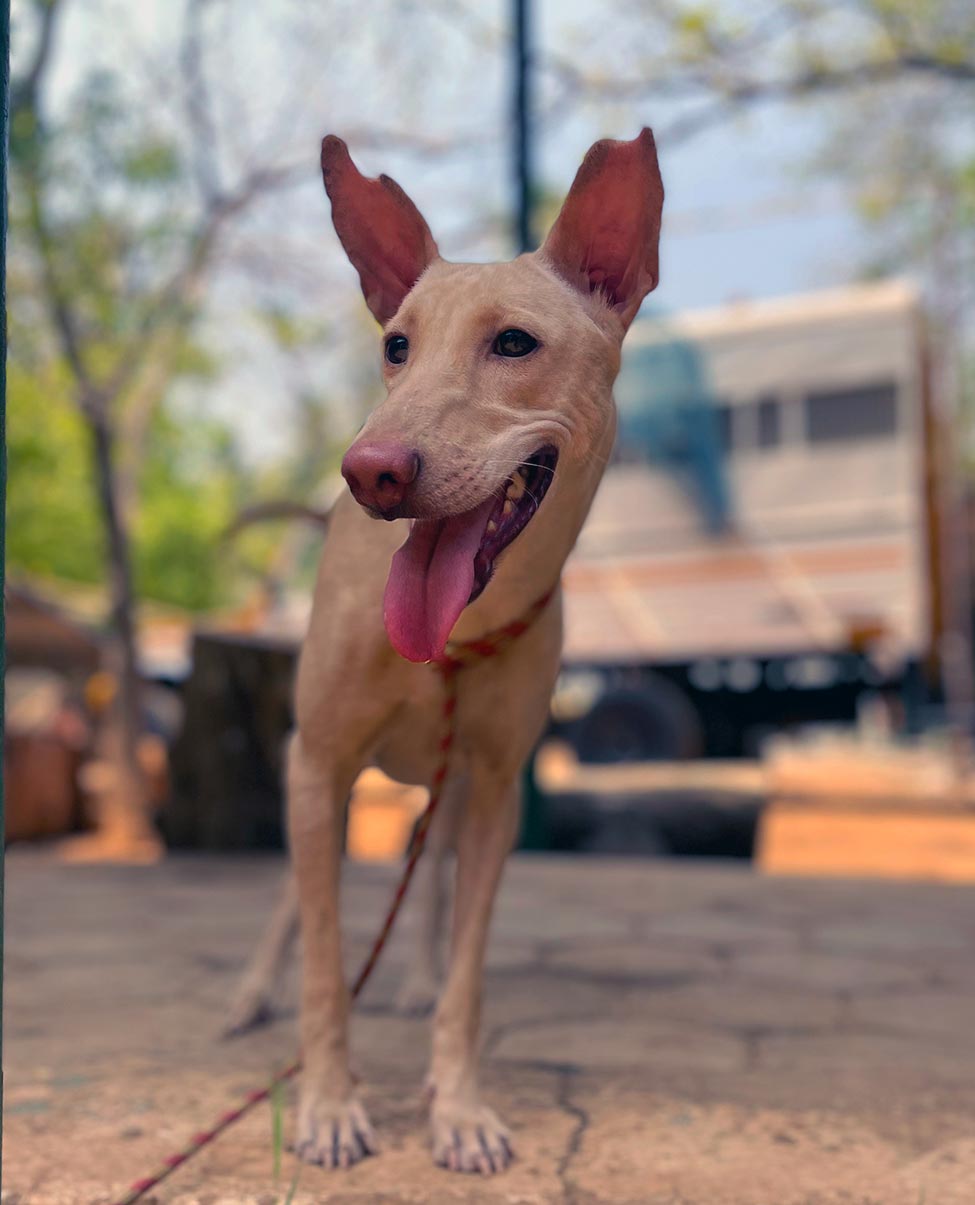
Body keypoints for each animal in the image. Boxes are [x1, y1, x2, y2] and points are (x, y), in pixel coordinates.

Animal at [230, 129, 664, 1174]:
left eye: (513, 343)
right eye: (396, 345)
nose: (370, 472)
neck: (460, 629)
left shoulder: (502, 789)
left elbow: (468, 970)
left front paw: (457, 1106)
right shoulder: (319, 764)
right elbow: (321, 959)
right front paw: (329, 1104)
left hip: (454, 785)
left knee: (427, 877)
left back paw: (417, 975)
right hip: (319, 769)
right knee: (295, 902)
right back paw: (253, 990)